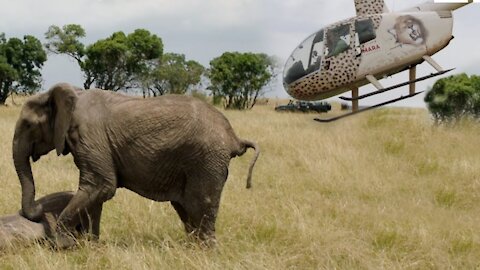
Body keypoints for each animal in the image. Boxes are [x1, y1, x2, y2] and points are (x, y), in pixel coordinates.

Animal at [12, 83, 258, 249]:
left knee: (200, 204)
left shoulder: (90, 136)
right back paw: (190, 249)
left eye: (29, 125)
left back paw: (205, 251)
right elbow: (96, 193)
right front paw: (91, 246)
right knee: (186, 207)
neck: (72, 94)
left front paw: (62, 245)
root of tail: (234, 138)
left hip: (207, 160)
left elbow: (101, 186)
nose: (39, 210)